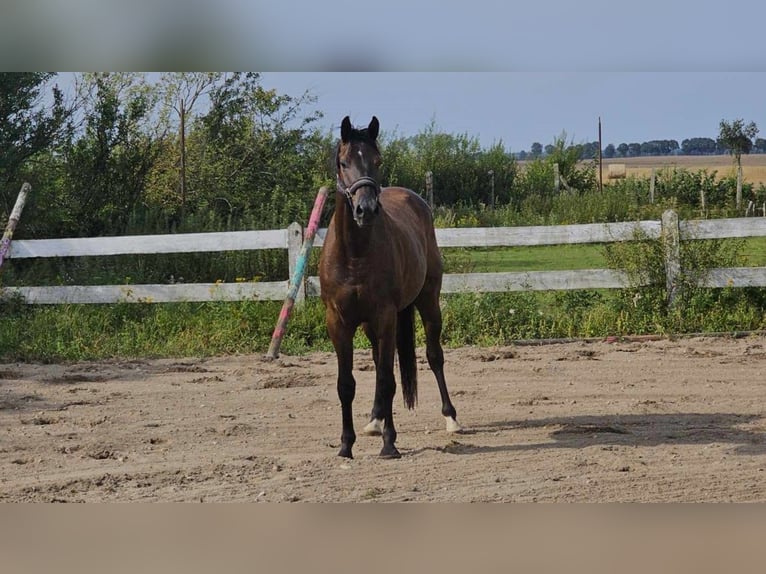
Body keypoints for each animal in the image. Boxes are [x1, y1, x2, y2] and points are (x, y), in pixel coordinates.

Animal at [318, 115, 462, 462]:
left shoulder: (385, 316)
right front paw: (346, 445)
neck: (355, 254)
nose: (366, 209)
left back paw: (450, 418)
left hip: (428, 302)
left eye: (377, 160)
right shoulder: (338, 322)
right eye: (343, 162)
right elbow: (346, 384)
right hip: (373, 325)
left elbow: (387, 380)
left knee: (434, 356)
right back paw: (374, 419)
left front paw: (389, 443)